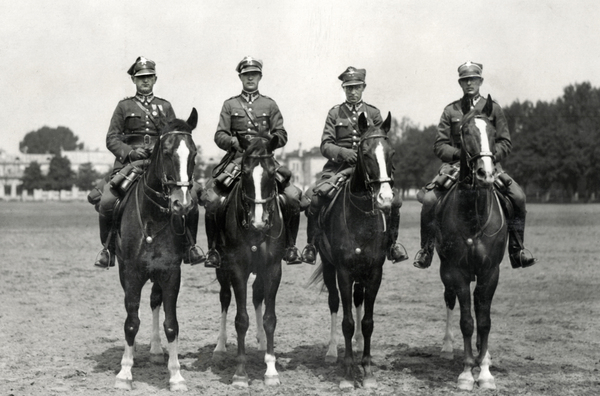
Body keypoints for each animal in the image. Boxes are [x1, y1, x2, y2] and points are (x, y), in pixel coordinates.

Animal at [111, 107, 198, 390]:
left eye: (194, 153)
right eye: (167, 152)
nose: (182, 204)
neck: (153, 218)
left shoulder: (170, 273)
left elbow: (171, 324)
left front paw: (176, 375)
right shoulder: (132, 273)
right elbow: (131, 322)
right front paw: (125, 372)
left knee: (154, 302)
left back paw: (157, 350)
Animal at [213, 133, 292, 386]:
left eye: (272, 172)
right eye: (245, 173)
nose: (259, 222)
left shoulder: (273, 269)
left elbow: (269, 318)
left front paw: (271, 369)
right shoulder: (237, 269)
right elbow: (241, 319)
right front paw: (240, 373)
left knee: (258, 296)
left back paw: (262, 343)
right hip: (222, 269)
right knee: (225, 299)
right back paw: (220, 346)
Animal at [310, 112, 398, 390]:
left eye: (391, 153)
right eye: (365, 153)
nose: (385, 199)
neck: (360, 218)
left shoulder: (374, 272)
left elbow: (367, 322)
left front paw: (367, 371)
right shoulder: (344, 273)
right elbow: (347, 321)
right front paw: (348, 374)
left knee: (358, 302)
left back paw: (359, 347)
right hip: (330, 268)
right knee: (334, 303)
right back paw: (331, 352)